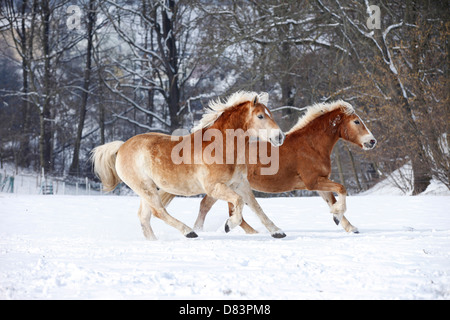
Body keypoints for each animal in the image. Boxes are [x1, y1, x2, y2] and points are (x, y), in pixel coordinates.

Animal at [91, 91, 284, 239]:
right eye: (260, 116)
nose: (280, 136)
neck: (222, 146)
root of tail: (122, 147)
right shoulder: (214, 187)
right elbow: (239, 201)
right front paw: (229, 225)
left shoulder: (240, 183)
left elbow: (256, 206)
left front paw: (277, 232)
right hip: (146, 188)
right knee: (158, 212)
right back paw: (189, 232)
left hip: (146, 190)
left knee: (145, 217)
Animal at [192, 100, 376, 235]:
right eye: (356, 121)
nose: (372, 141)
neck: (311, 146)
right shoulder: (313, 182)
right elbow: (342, 189)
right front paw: (338, 217)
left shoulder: (319, 183)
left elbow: (332, 201)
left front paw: (347, 225)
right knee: (219, 208)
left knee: (209, 206)